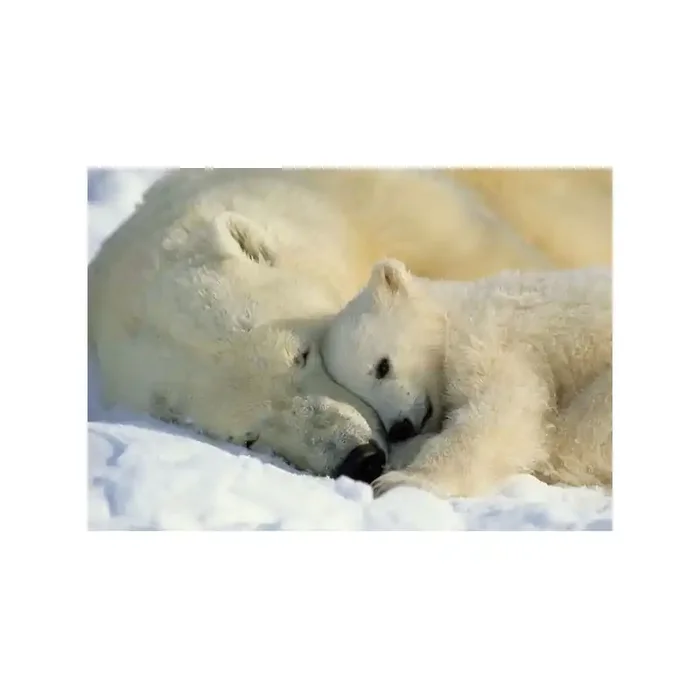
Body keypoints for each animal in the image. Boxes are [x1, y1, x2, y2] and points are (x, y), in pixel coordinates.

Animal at [320, 258, 612, 498]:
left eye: (382, 366)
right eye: (364, 399)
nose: (400, 428)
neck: (454, 313)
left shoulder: (489, 338)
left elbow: (500, 410)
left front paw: (400, 480)